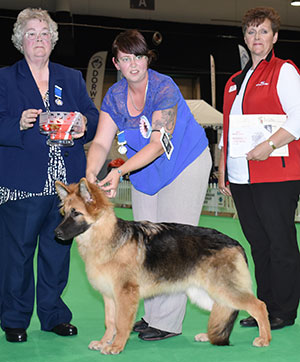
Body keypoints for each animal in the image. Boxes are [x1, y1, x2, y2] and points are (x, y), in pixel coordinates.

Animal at [55, 180, 270, 354]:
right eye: (64, 214)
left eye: (76, 213)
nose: (56, 233)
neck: (107, 236)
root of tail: (235, 242)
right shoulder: (109, 296)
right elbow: (110, 322)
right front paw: (104, 342)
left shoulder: (125, 295)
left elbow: (122, 323)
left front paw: (116, 346)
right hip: (205, 294)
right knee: (222, 309)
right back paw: (209, 336)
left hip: (225, 290)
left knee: (259, 305)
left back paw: (264, 339)